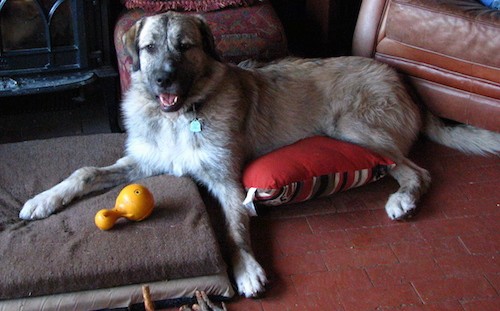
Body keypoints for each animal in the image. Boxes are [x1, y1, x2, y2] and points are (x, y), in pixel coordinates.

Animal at [18, 11, 500, 298]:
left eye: (185, 46)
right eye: (149, 48)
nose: (163, 81)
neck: (181, 114)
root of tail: (402, 78)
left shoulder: (227, 181)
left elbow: (232, 231)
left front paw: (245, 268)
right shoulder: (141, 163)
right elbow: (83, 171)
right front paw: (43, 200)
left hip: (352, 128)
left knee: (417, 171)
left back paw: (402, 199)